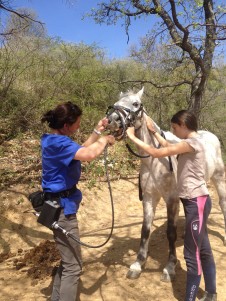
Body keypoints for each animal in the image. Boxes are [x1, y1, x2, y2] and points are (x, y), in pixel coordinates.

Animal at [107, 88, 226, 280]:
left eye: (135, 104)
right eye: (117, 102)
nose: (112, 120)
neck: (155, 160)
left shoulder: (171, 199)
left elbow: (170, 232)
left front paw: (170, 266)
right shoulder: (149, 198)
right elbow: (145, 229)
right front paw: (138, 264)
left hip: (219, 178)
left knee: (222, 203)